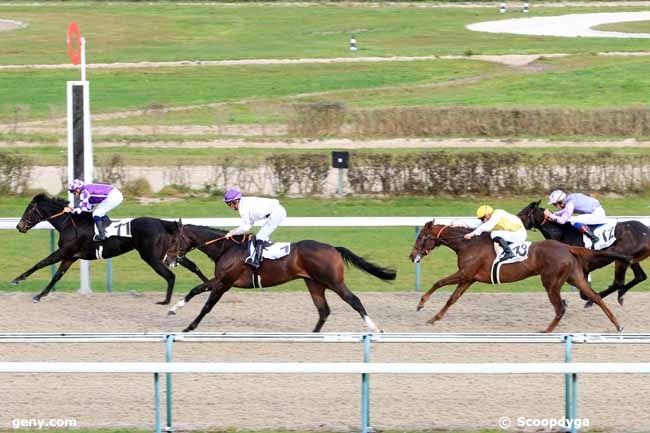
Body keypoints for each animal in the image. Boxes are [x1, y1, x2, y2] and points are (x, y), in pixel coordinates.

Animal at [12, 194, 208, 302]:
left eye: (29, 209)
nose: (19, 226)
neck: (70, 223)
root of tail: (162, 223)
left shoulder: (64, 252)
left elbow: (41, 263)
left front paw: (17, 279)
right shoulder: (70, 257)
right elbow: (56, 276)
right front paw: (40, 295)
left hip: (152, 257)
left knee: (170, 275)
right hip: (171, 253)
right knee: (193, 266)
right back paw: (207, 285)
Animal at [162, 221, 394, 332]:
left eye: (173, 241)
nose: (166, 259)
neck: (226, 248)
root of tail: (333, 248)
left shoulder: (224, 282)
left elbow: (207, 306)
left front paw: (189, 327)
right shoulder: (219, 281)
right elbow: (195, 290)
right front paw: (173, 309)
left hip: (333, 281)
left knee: (354, 300)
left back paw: (375, 328)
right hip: (314, 283)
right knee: (323, 310)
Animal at [408, 219, 624, 330]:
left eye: (421, 237)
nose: (411, 256)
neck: (467, 244)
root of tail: (567, 247)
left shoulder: (464, 273)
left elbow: (438, 282)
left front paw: (421, 304)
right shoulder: (469, 278)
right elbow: (452, 299)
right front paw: (434, 318)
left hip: (551, 282)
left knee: (560, 307)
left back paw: (546, 330)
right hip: (575, 277)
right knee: (595, 297)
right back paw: (617, 325)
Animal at [516, 199, 648, 304]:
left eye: (522, 213)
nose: (515, 224)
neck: (562, 233)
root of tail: (646, 230)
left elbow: (583, 293)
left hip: (621, 260)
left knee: (618, 282)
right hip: (632, 259)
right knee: (640, 276)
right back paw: (620, 294)